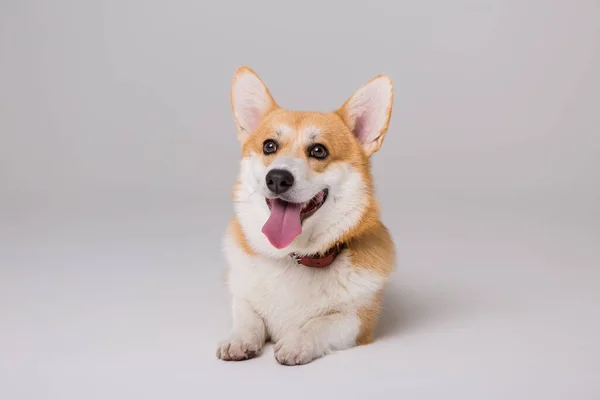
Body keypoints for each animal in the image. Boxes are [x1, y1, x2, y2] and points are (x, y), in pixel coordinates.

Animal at [218, 66, 396, 366]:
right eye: (269, 146)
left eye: (318, 151)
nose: (277, 179)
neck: (295, 256)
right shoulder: (241, 295)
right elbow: (247, 316)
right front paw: (239, 339)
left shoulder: (358, 321)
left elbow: (320, 323)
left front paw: (296, 342)